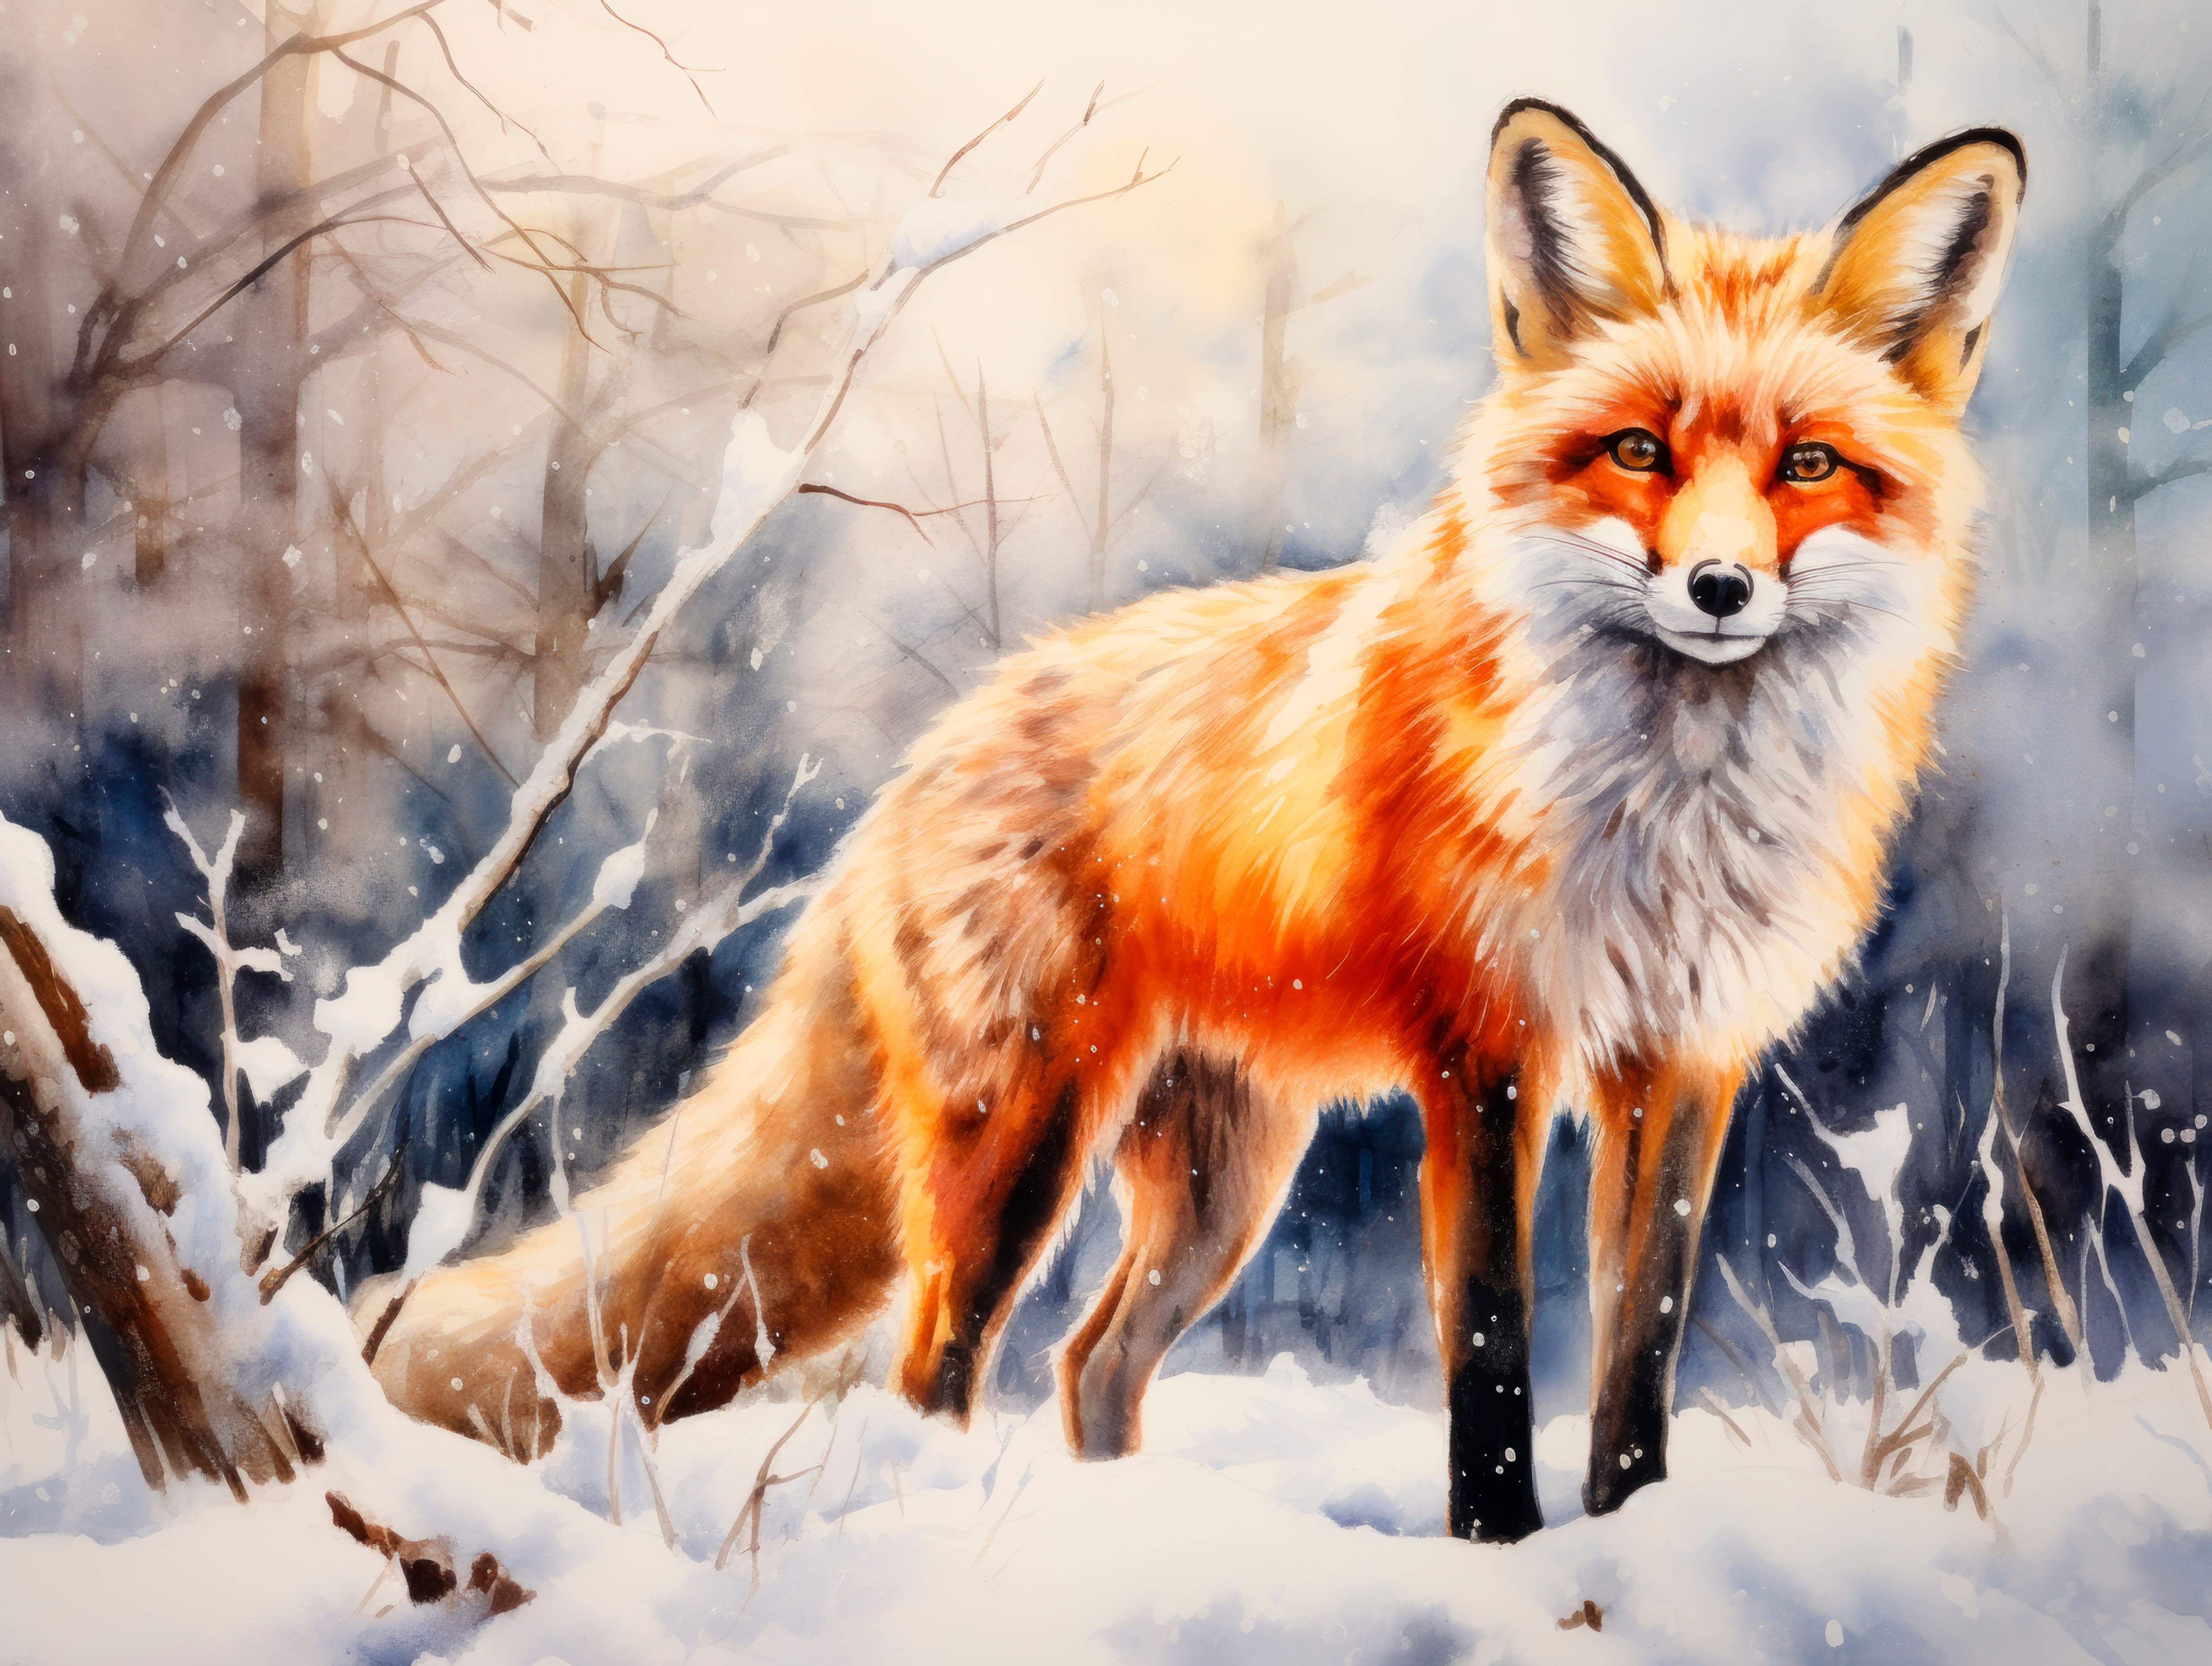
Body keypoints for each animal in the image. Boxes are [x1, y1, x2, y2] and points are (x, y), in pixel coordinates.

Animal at [367, 101, 2024, 1542]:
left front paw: (1627, 1540)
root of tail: (926, 751)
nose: (1720, 589)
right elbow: (1490, 1347)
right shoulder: (1482, 1055)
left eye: (1806, 465)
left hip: (1222, 1186)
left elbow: (1638, 1353)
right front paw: (1499, 1551)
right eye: (1636, 451)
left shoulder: (1680, 1063)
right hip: (1018, 1144)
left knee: (1088, 1361)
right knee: (937, 1365)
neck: (1666, 808)